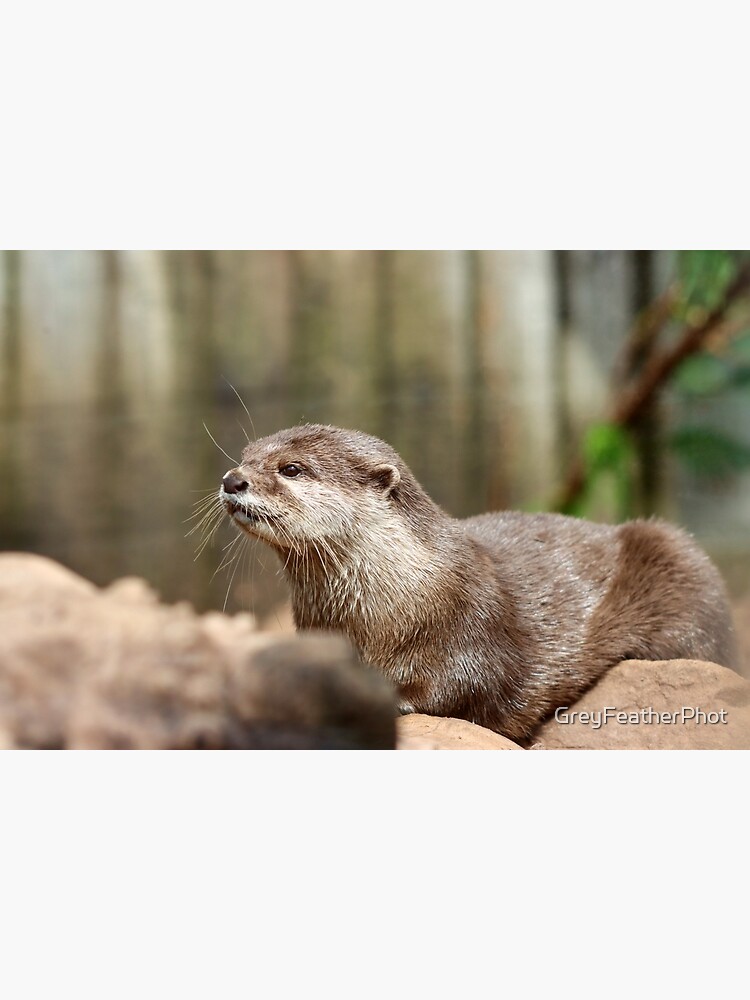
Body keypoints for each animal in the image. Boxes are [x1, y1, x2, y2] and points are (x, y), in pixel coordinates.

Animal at [219, 423, 739, 741]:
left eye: (291, 468)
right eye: (244, 456)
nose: (231, 479)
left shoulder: (475, 622)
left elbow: (465, 688)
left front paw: (391, 698)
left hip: (679, 567)